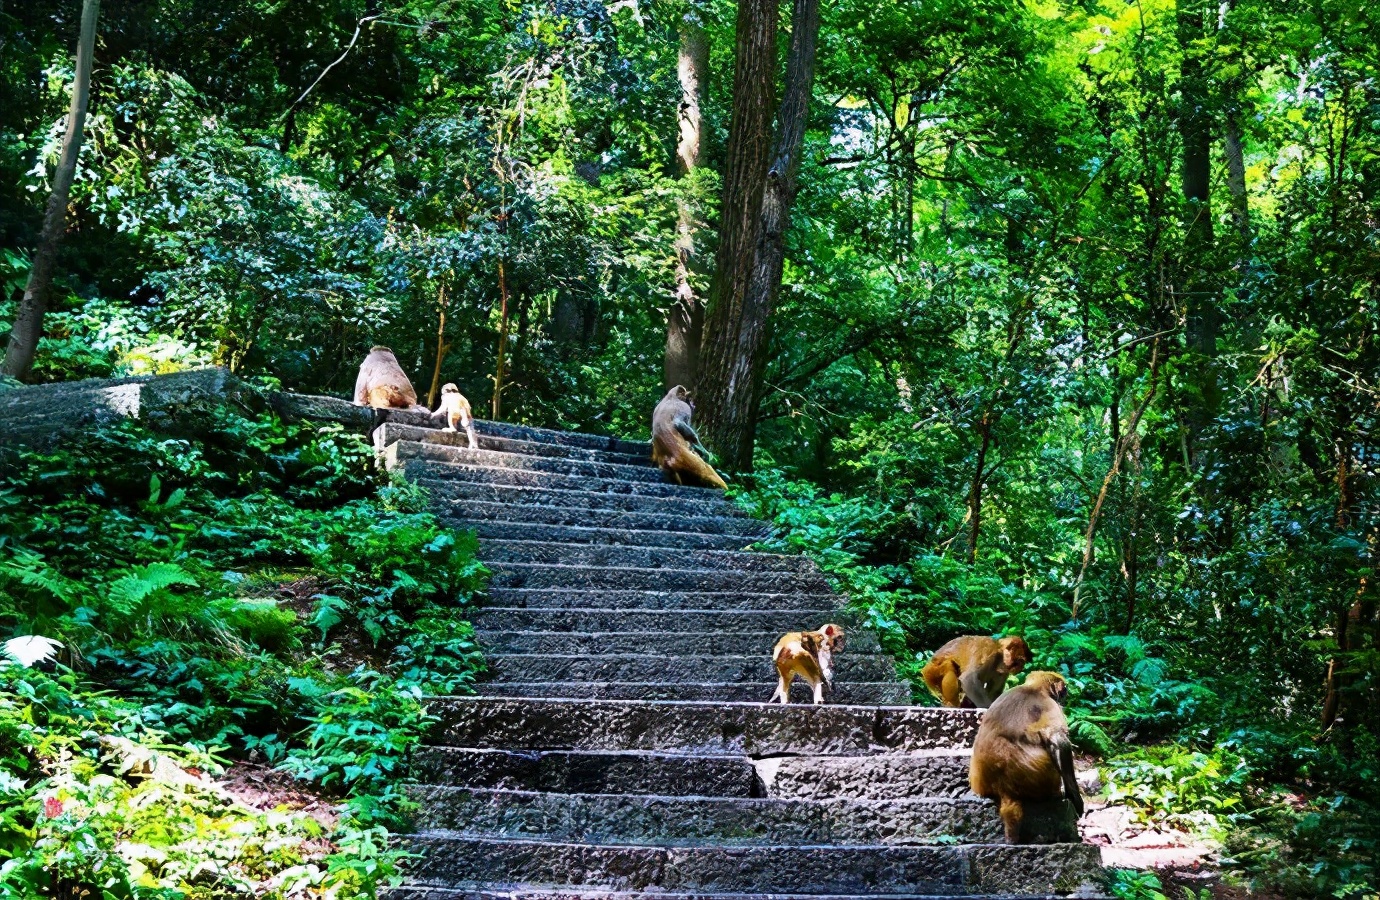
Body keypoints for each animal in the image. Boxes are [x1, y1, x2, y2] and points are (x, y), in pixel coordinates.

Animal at [966, 668, 1081, 844]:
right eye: (1064, 687)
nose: (1066, 691)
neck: (1033, 688)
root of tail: (1003, 787)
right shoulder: (1051, 704)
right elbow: (1058, 740)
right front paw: (1074, 797)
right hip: (1041, 777)